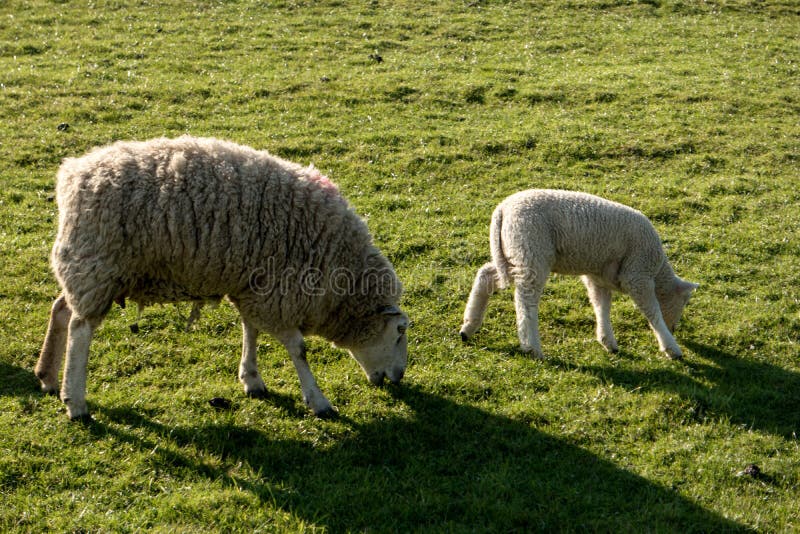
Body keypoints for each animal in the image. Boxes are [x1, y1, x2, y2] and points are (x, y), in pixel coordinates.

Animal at [35, 136, 409, 421]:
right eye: (400, 331)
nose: (399, 378)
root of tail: (71, 174)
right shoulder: (279, 291)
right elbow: (298, 349)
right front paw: (318, 401)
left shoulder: (253, 287)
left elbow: (251, 330)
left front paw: (252, 379)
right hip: (98, 266)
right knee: (80, 330)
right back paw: (75, 402)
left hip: (89, 267)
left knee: (61, 309)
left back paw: (48, 377)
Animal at [459, 189, 698, 360]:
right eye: (684, 303)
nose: (675, 328)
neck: (657, 273)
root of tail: (503, 210)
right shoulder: (637, 275)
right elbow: (653, 311)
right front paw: (671, 347)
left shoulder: (598, 278)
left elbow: (601, 305)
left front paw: (607, 341)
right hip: (531, 251)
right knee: (525, 302)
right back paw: (532, 347)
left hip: (513, 253)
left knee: (486, 276)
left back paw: (468, 326)